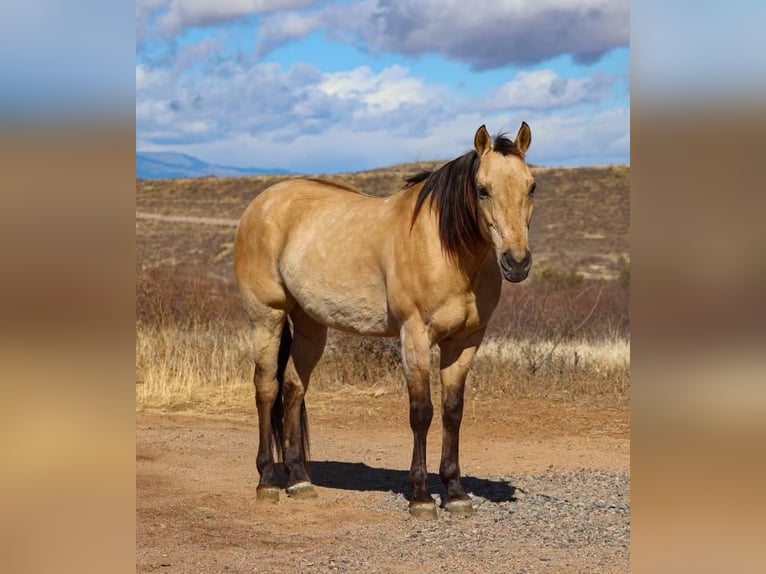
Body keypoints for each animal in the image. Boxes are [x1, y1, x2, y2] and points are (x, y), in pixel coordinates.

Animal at [234, 123, 535, 518]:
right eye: (483, 190)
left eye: (532, 187)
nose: (517, 263)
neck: (445, 248)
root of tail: (261, 204)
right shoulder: (415, 336)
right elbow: (421, 411)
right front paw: (421, 497)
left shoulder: (465, 342)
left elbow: (452, 411)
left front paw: (455, 493)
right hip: (266, 317)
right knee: (266, 390)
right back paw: (267, 481)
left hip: (311, 324)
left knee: (293, 388)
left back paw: (299, 480)